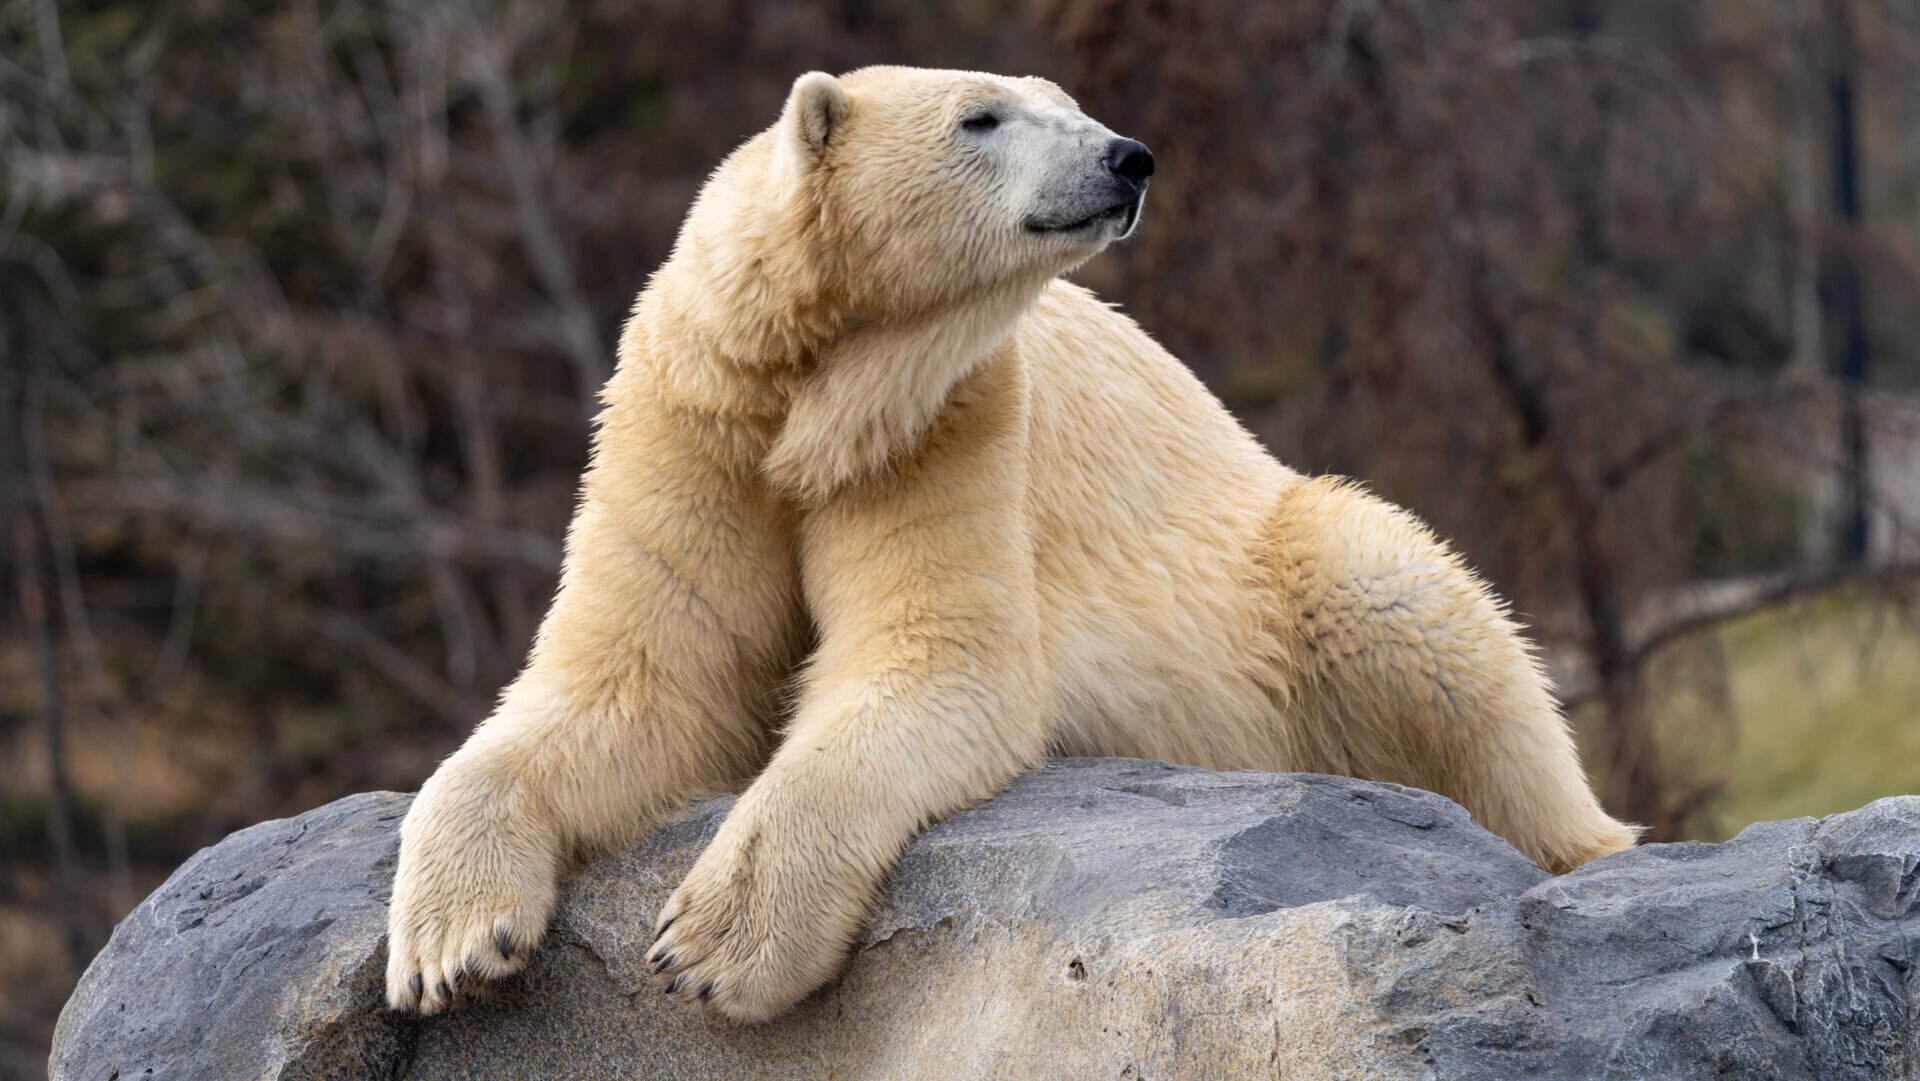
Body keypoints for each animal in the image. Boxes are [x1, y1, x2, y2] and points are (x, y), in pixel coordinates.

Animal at [385, 65, 1635, 1021]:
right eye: (980, 115)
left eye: (1067, 101)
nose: (1128, 157)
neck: (813, 398)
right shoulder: (693, 426)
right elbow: (637, 679)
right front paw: (450, 945)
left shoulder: (947, 425)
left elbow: (937, 662)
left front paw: (712, 945)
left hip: (1285, 553)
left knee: (1410, 610)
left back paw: (1592, 850)